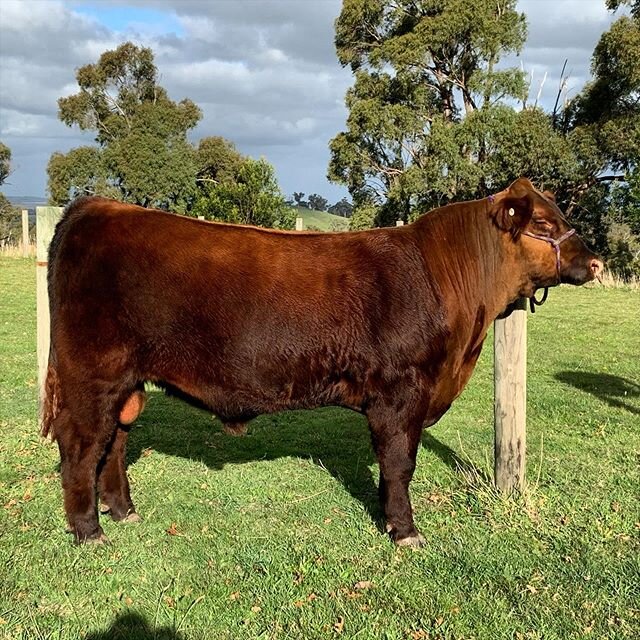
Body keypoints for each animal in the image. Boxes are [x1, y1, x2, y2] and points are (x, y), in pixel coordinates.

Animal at [42, 179, 604, 544]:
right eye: (544, 222)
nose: (597, 262)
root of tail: (96, 208)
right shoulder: (402, 392)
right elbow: (400, 463)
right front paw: (405, 531)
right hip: (93, 375)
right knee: (82, 447)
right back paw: (89, 531)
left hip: (127, 383)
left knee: (114, 443)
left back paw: (124, 512)